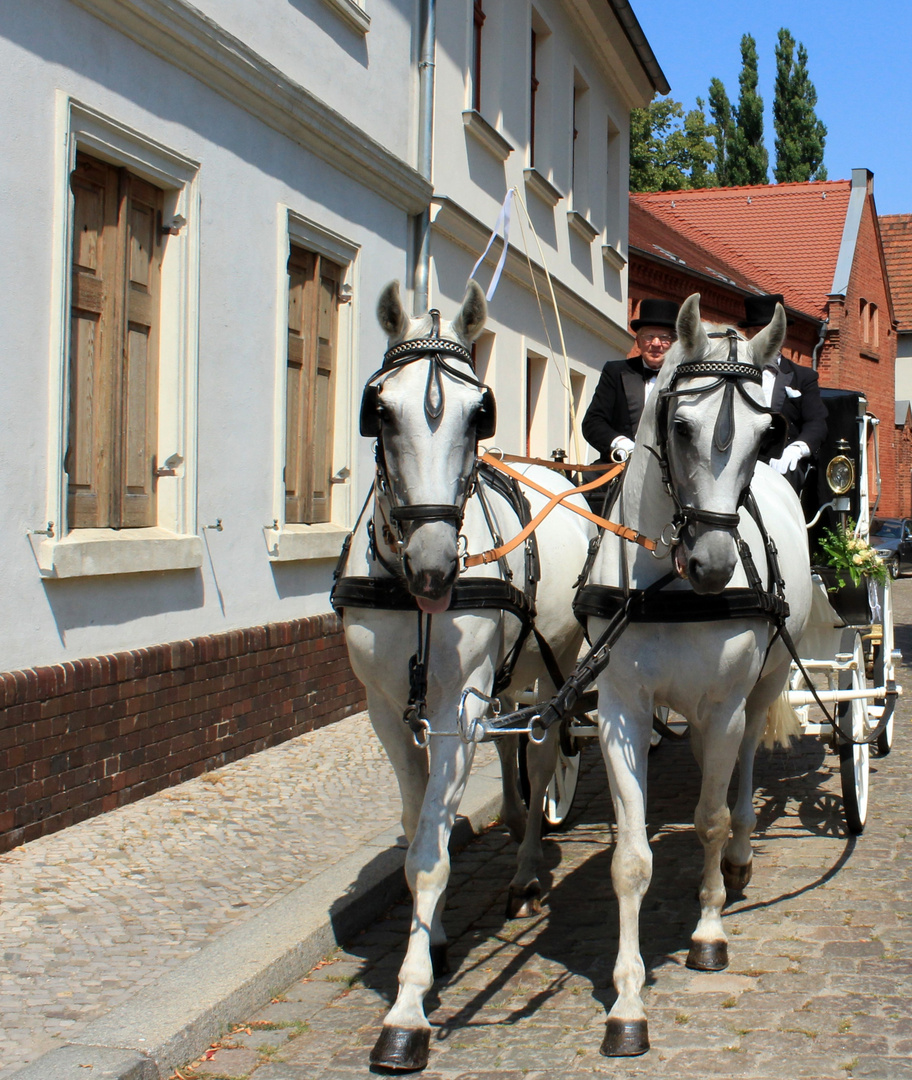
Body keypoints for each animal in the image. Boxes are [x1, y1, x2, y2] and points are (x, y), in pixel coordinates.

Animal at [334, 280, 592, 1071]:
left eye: (482, 411)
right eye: (378, 407)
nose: (433, 569)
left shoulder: (455, 713)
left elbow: (432, 852)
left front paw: (407, 1010)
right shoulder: (388, 712)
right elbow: (419, 834)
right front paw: (435, 940)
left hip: (555, 666)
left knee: (543, 754)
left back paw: (526, 869)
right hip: (507, 680)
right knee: (514, 756)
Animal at [570, 295, 812, 1054]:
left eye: (767, 434)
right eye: (678, 425)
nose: (713, 563)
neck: (668, 585)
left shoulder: (727, 701)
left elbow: (707, 818)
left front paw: (707, 932)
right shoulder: (621, 709)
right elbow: (630, 859)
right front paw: (626, 1003)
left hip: (758, 688)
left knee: (738, 775)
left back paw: (737, 856)